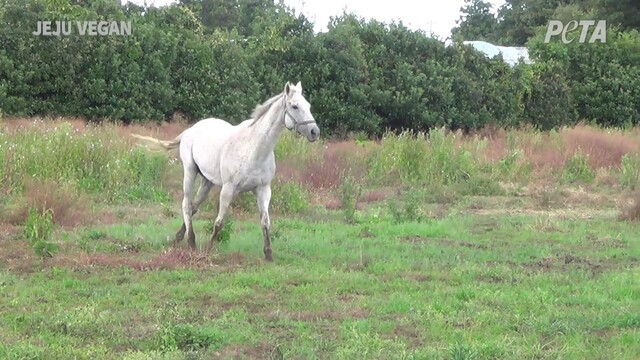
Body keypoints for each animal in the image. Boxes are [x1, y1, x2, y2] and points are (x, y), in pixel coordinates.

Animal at [133, 81, 320, 262]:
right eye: (294, 106)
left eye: (308, 105)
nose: (314, 132)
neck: (254, 149)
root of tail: (190, 130)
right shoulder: (228, 189)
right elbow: (219, 222)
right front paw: (207, 251)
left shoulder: (263, 190)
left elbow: (265, 222)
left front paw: (268, 254)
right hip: (190, 171)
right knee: (186, 204)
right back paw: (191, 242)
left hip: (207, 181)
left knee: (194, 207)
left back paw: (178, 238)